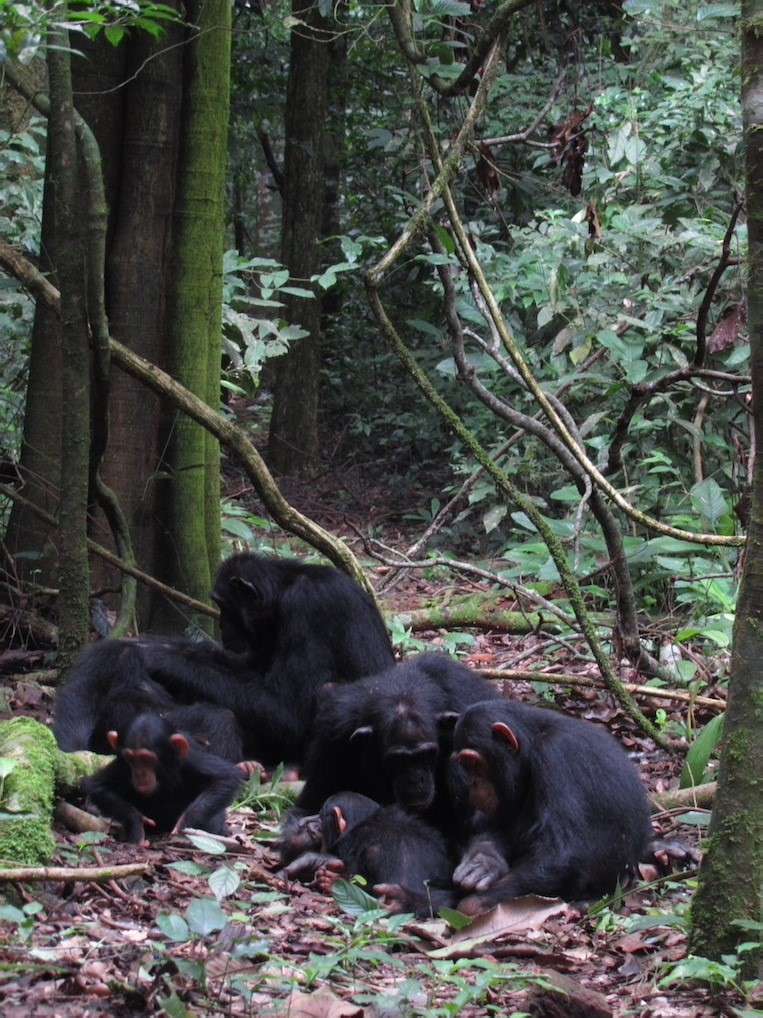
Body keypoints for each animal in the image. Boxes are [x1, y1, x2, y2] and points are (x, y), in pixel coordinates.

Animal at [53, 549, 394, 765]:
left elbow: (287, 709)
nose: (221, 624)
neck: (282, 594)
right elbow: (246, 669)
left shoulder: (309, 607)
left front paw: (157, 656)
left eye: (223, 605)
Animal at [280, 651, 502, 851]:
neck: (402, 692)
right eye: (398, 759)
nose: (415, 779)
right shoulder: (333, 730)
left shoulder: (468, 699)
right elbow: (309, 806)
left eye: (426, 754)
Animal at [451, 700, 655, 916]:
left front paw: (475, 903)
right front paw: (483, 861)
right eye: (464, 764)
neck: (533, 743)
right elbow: (494, 822)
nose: (473, 783)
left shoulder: (556, 756)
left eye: (473, 763)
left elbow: (561, 856)